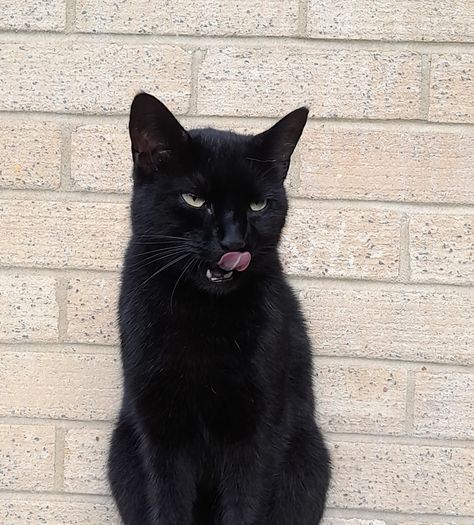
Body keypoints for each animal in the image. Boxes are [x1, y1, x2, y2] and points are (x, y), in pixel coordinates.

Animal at [108, 94, 330, 524]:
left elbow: (245, 505)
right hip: (122, 451)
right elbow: (167, 503)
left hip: (308, 460)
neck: (202, 314)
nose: (234, 243)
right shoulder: (160, 426)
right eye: (195, 199)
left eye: (258, 204)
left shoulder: (259, 427)